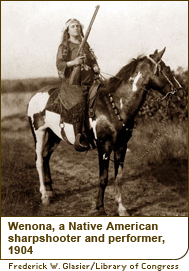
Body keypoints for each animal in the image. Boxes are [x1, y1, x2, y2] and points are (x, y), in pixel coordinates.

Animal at [27, 47, 182, 217]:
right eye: (167, 69)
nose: (180, 93)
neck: (115, 106)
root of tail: (35, 96)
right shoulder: (104, 147)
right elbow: (103, 178)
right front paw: (100, 207)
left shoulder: (121, 146)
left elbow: (118, 177)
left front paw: (121, 208)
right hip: (39, 133)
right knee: (39, 160)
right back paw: (44, 196)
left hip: (55, 135)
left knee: (46, 156)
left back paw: (50, 190)